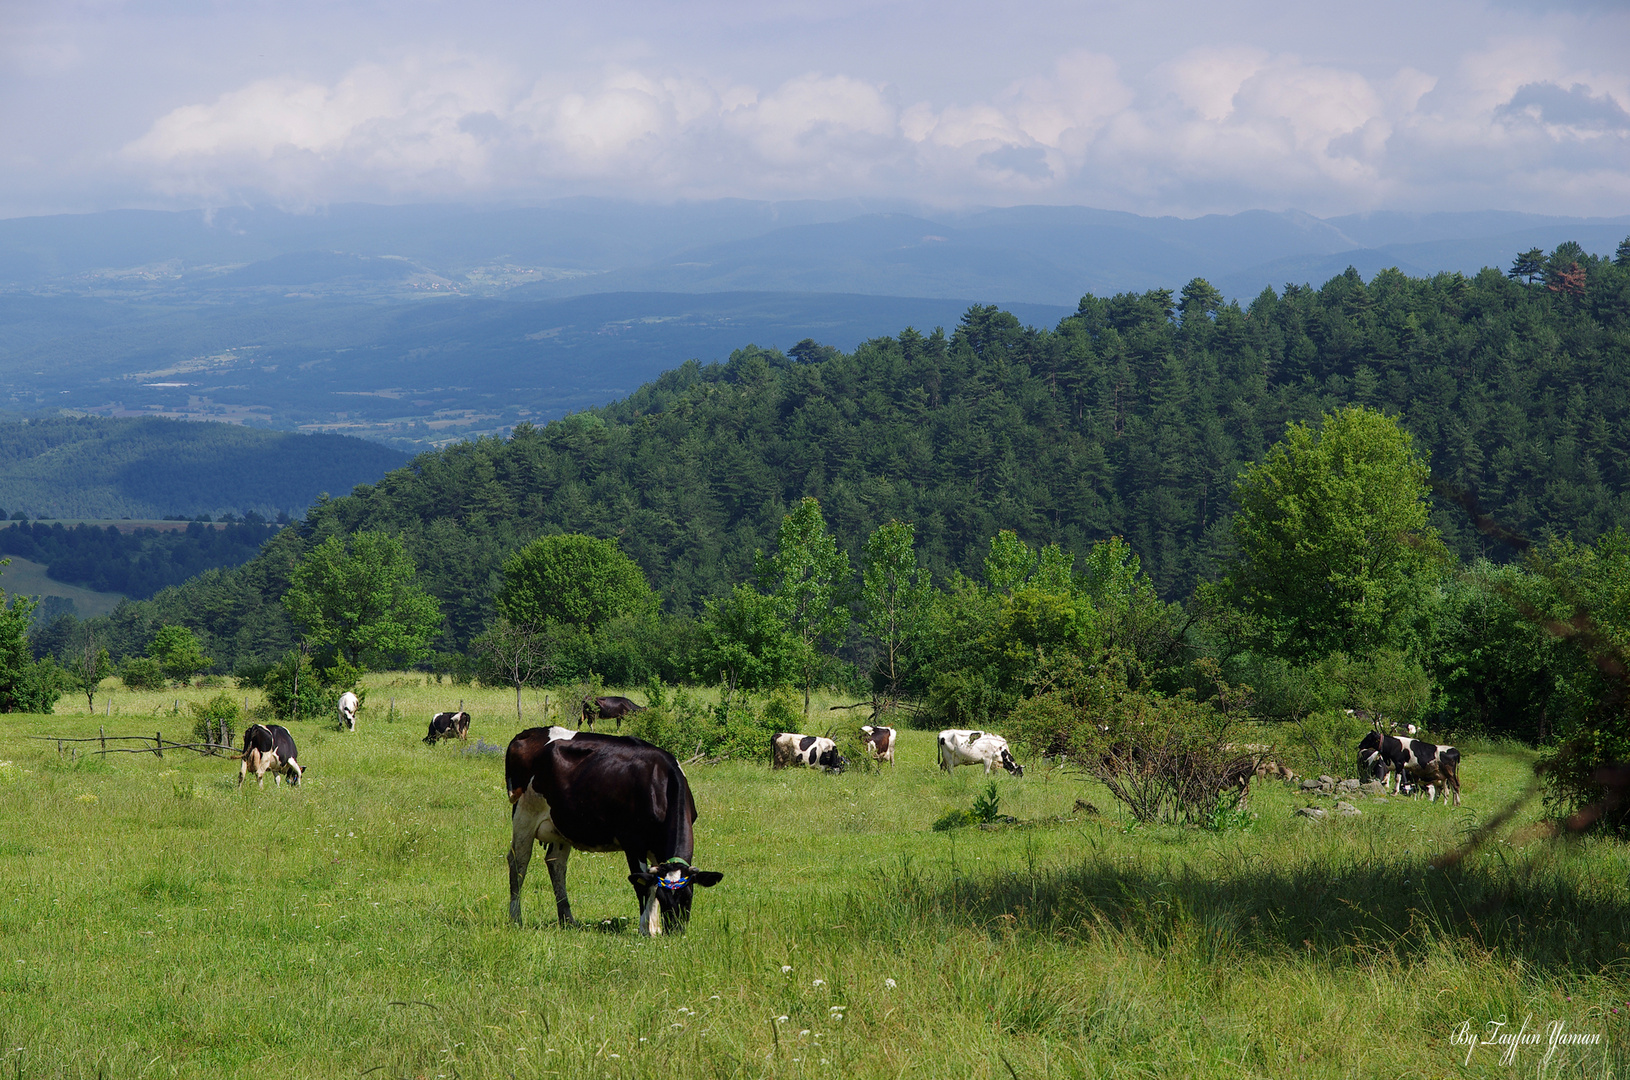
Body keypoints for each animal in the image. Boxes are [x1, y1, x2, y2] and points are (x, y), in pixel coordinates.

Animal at [502, 729, 720, 931]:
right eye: (664, 898)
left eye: (688, 897)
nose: (675, 931)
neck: (660, 784)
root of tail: (529, 733)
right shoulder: (632, 842)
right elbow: (642, 885)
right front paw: (645, 929)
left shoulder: (657, 848)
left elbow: (651, 882)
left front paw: (654, 928)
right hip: (524, 814)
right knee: (519, 862)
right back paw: (515, 918)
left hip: (561, 824)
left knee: (556, 864)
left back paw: (567, 920)